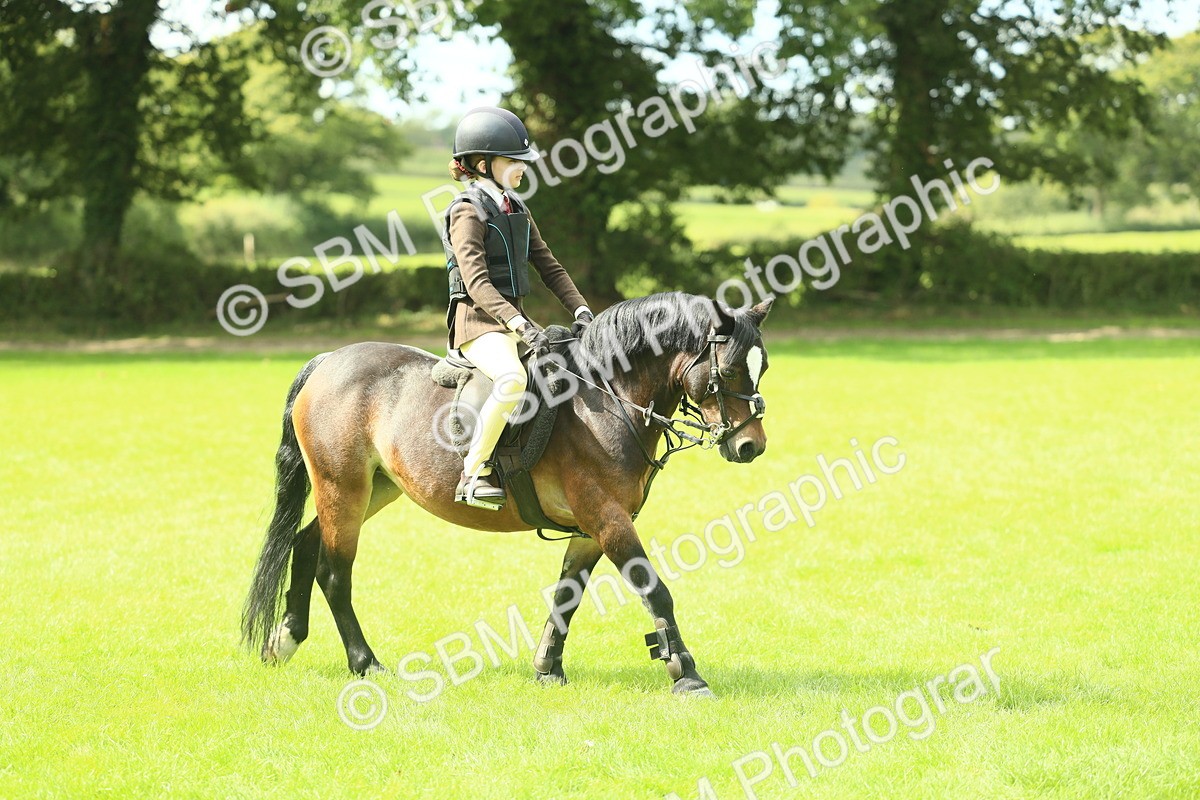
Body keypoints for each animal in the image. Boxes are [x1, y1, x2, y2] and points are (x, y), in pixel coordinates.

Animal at [241, 291, 773, 695]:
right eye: (728, 371)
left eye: (762, 367)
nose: (751, 446)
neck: (605, 397)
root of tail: (329, 361)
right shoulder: (607, 517)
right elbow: (654, 589)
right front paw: (687, 674)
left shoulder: (591, 528)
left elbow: (567, 596)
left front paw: (547, 669)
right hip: (342, 487)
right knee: (334, 573)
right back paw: (363, 661)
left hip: (373, 489)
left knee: (306, 543)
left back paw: (285, 639)